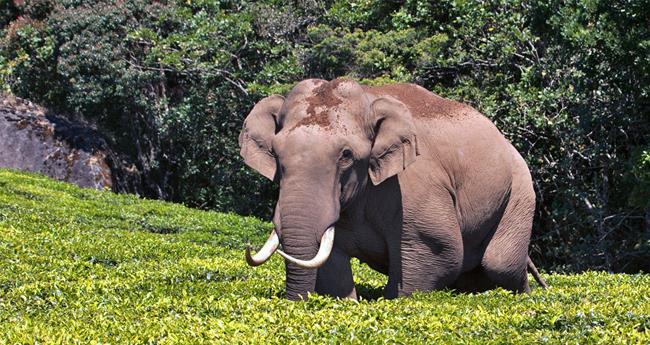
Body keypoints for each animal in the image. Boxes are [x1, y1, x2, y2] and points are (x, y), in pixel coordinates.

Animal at [238, 78, 548, 298]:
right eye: (276, 153)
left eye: (346, 155)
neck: (369, 98)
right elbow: (331, 264)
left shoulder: (415, 187)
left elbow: (439, 251)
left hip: (520, 190)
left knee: (499, 263)